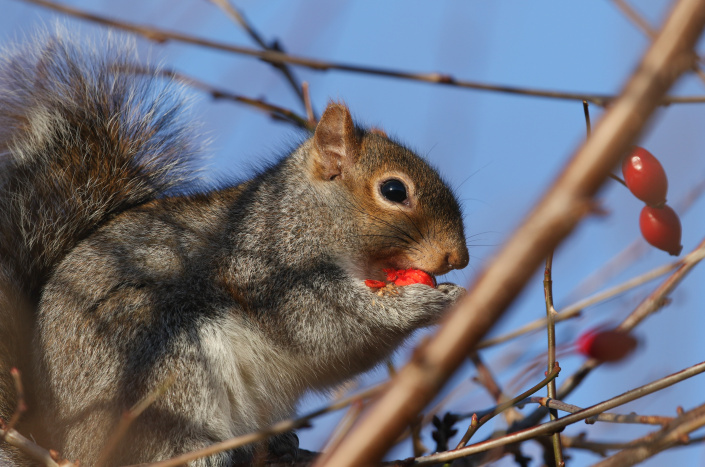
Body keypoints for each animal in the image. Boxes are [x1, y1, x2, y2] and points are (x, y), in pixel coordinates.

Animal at [0, 31, 470, 466]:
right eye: (393, 190)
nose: (458, 258)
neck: (308, 216)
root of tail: (61, 443)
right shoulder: (263, 266)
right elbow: (322, 323)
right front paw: (420, 303)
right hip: (166, 368)